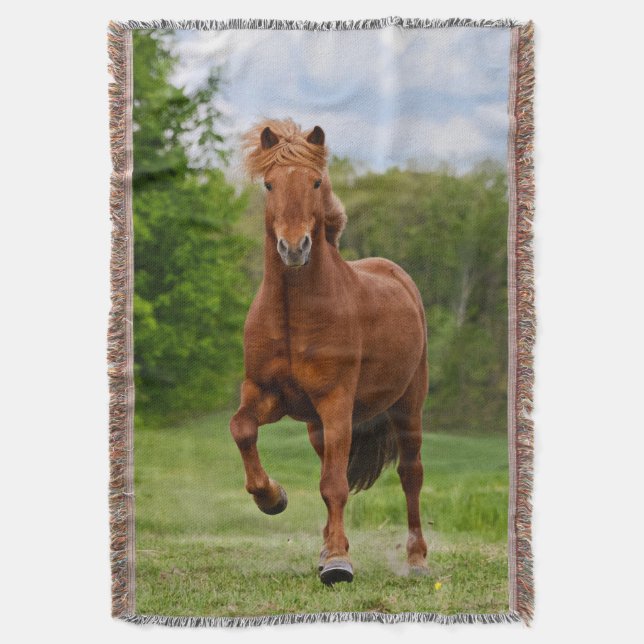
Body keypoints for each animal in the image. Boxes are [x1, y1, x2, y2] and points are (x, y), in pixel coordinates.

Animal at [229, 118, 429, 585]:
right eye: (269, 184)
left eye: (316, 182)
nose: (294, 248)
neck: (293, 314)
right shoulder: (266, 394)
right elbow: (242, 428)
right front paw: (273, 498)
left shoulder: (336, 402)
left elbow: (335, 484)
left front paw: (339, 563)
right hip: (316, 427)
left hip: (408, 407)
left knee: (410, 475)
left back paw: (416, 560)